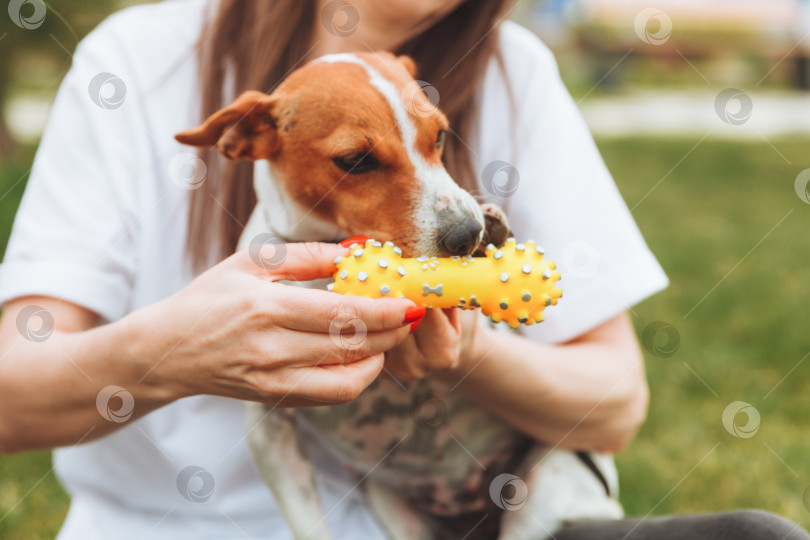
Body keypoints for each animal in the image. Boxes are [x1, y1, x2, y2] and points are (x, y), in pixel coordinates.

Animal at [177, 51, 620, 540]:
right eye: (354, 160)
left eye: (440, 136)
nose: (467, 235)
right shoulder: (269, 432)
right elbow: (309, 523)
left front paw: (493, 232)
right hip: (391, 506)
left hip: (546, 483)